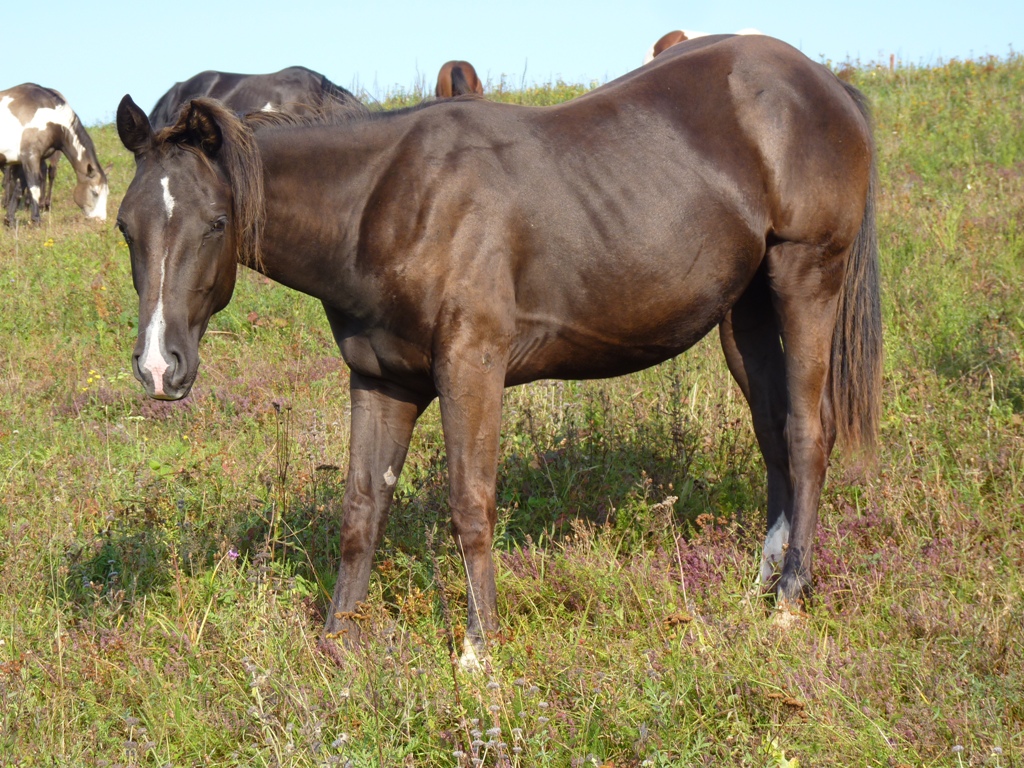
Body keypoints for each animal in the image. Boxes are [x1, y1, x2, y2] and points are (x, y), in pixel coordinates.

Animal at [0, 83, 108, 225]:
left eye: (107, 193)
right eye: (95, 192)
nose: (100, 220)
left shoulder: (21, 161)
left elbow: (18, 189)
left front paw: (10, 221)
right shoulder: (30, 158)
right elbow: (34, 188)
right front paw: (36, 220)